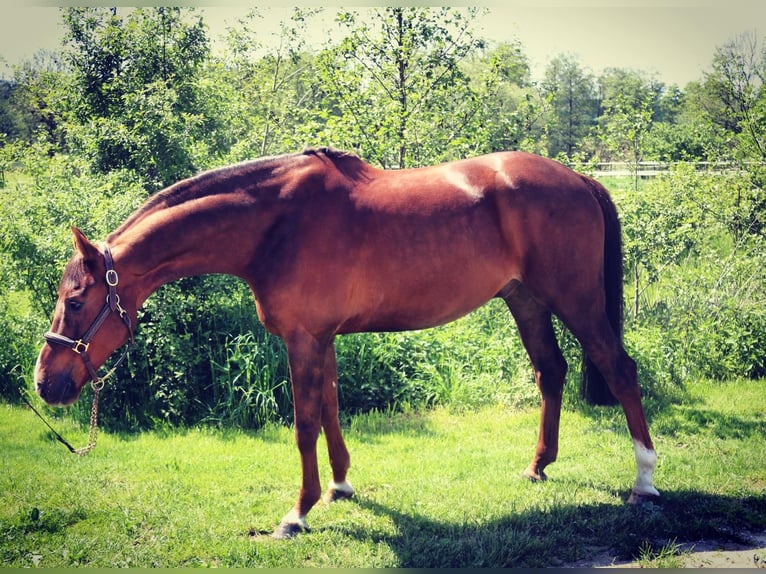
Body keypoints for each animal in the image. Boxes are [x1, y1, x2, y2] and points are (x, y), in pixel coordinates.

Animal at [34, 147, 660, 540]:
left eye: (75, 300)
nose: (45, 382)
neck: (275, 222)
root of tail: (580, 180)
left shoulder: (302, 339)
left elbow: (304, 421)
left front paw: (297, 513)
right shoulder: (324, 338)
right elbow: (332, 408)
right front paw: (339, 486)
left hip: (576, 301)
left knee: (620, 370)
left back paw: (645, 482)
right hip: (525, 299)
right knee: (549, 372)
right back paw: (537, 467)